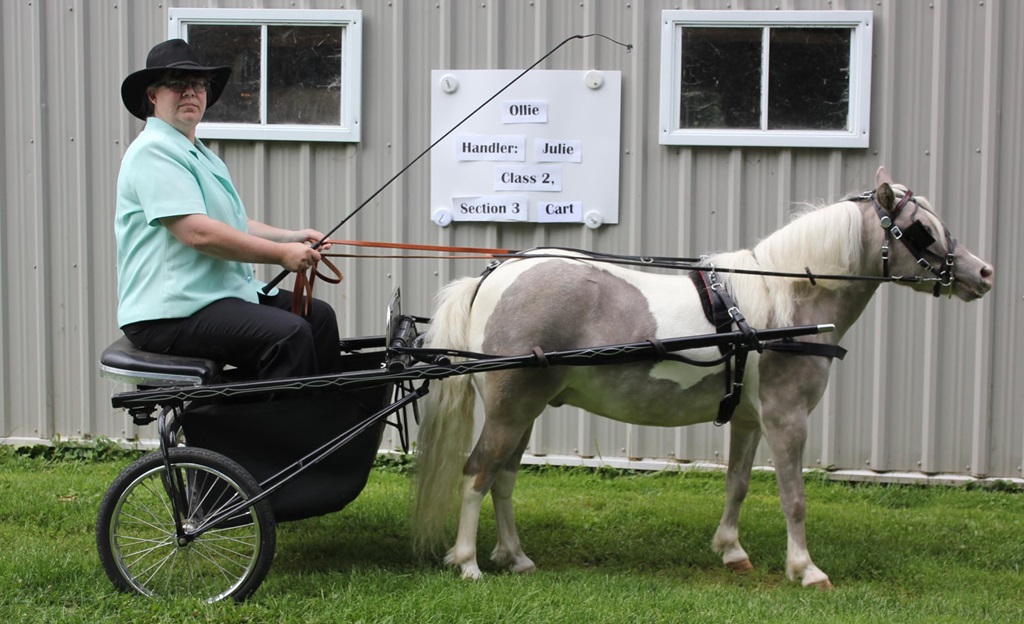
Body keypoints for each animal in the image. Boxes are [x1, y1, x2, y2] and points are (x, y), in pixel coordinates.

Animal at [412, 167, 994, 588]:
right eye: (921, 230)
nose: (984, 272)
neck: (785, 304)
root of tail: (494, 276)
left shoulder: (751, 419)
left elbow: (738, 483)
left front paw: (732, 551)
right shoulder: (787, 418)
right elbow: (793, 496)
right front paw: (806, 570)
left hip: (526, 409)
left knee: (504, 478)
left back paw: (515, 556)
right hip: (511, 409)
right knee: (478, 472)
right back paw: (468, 562)